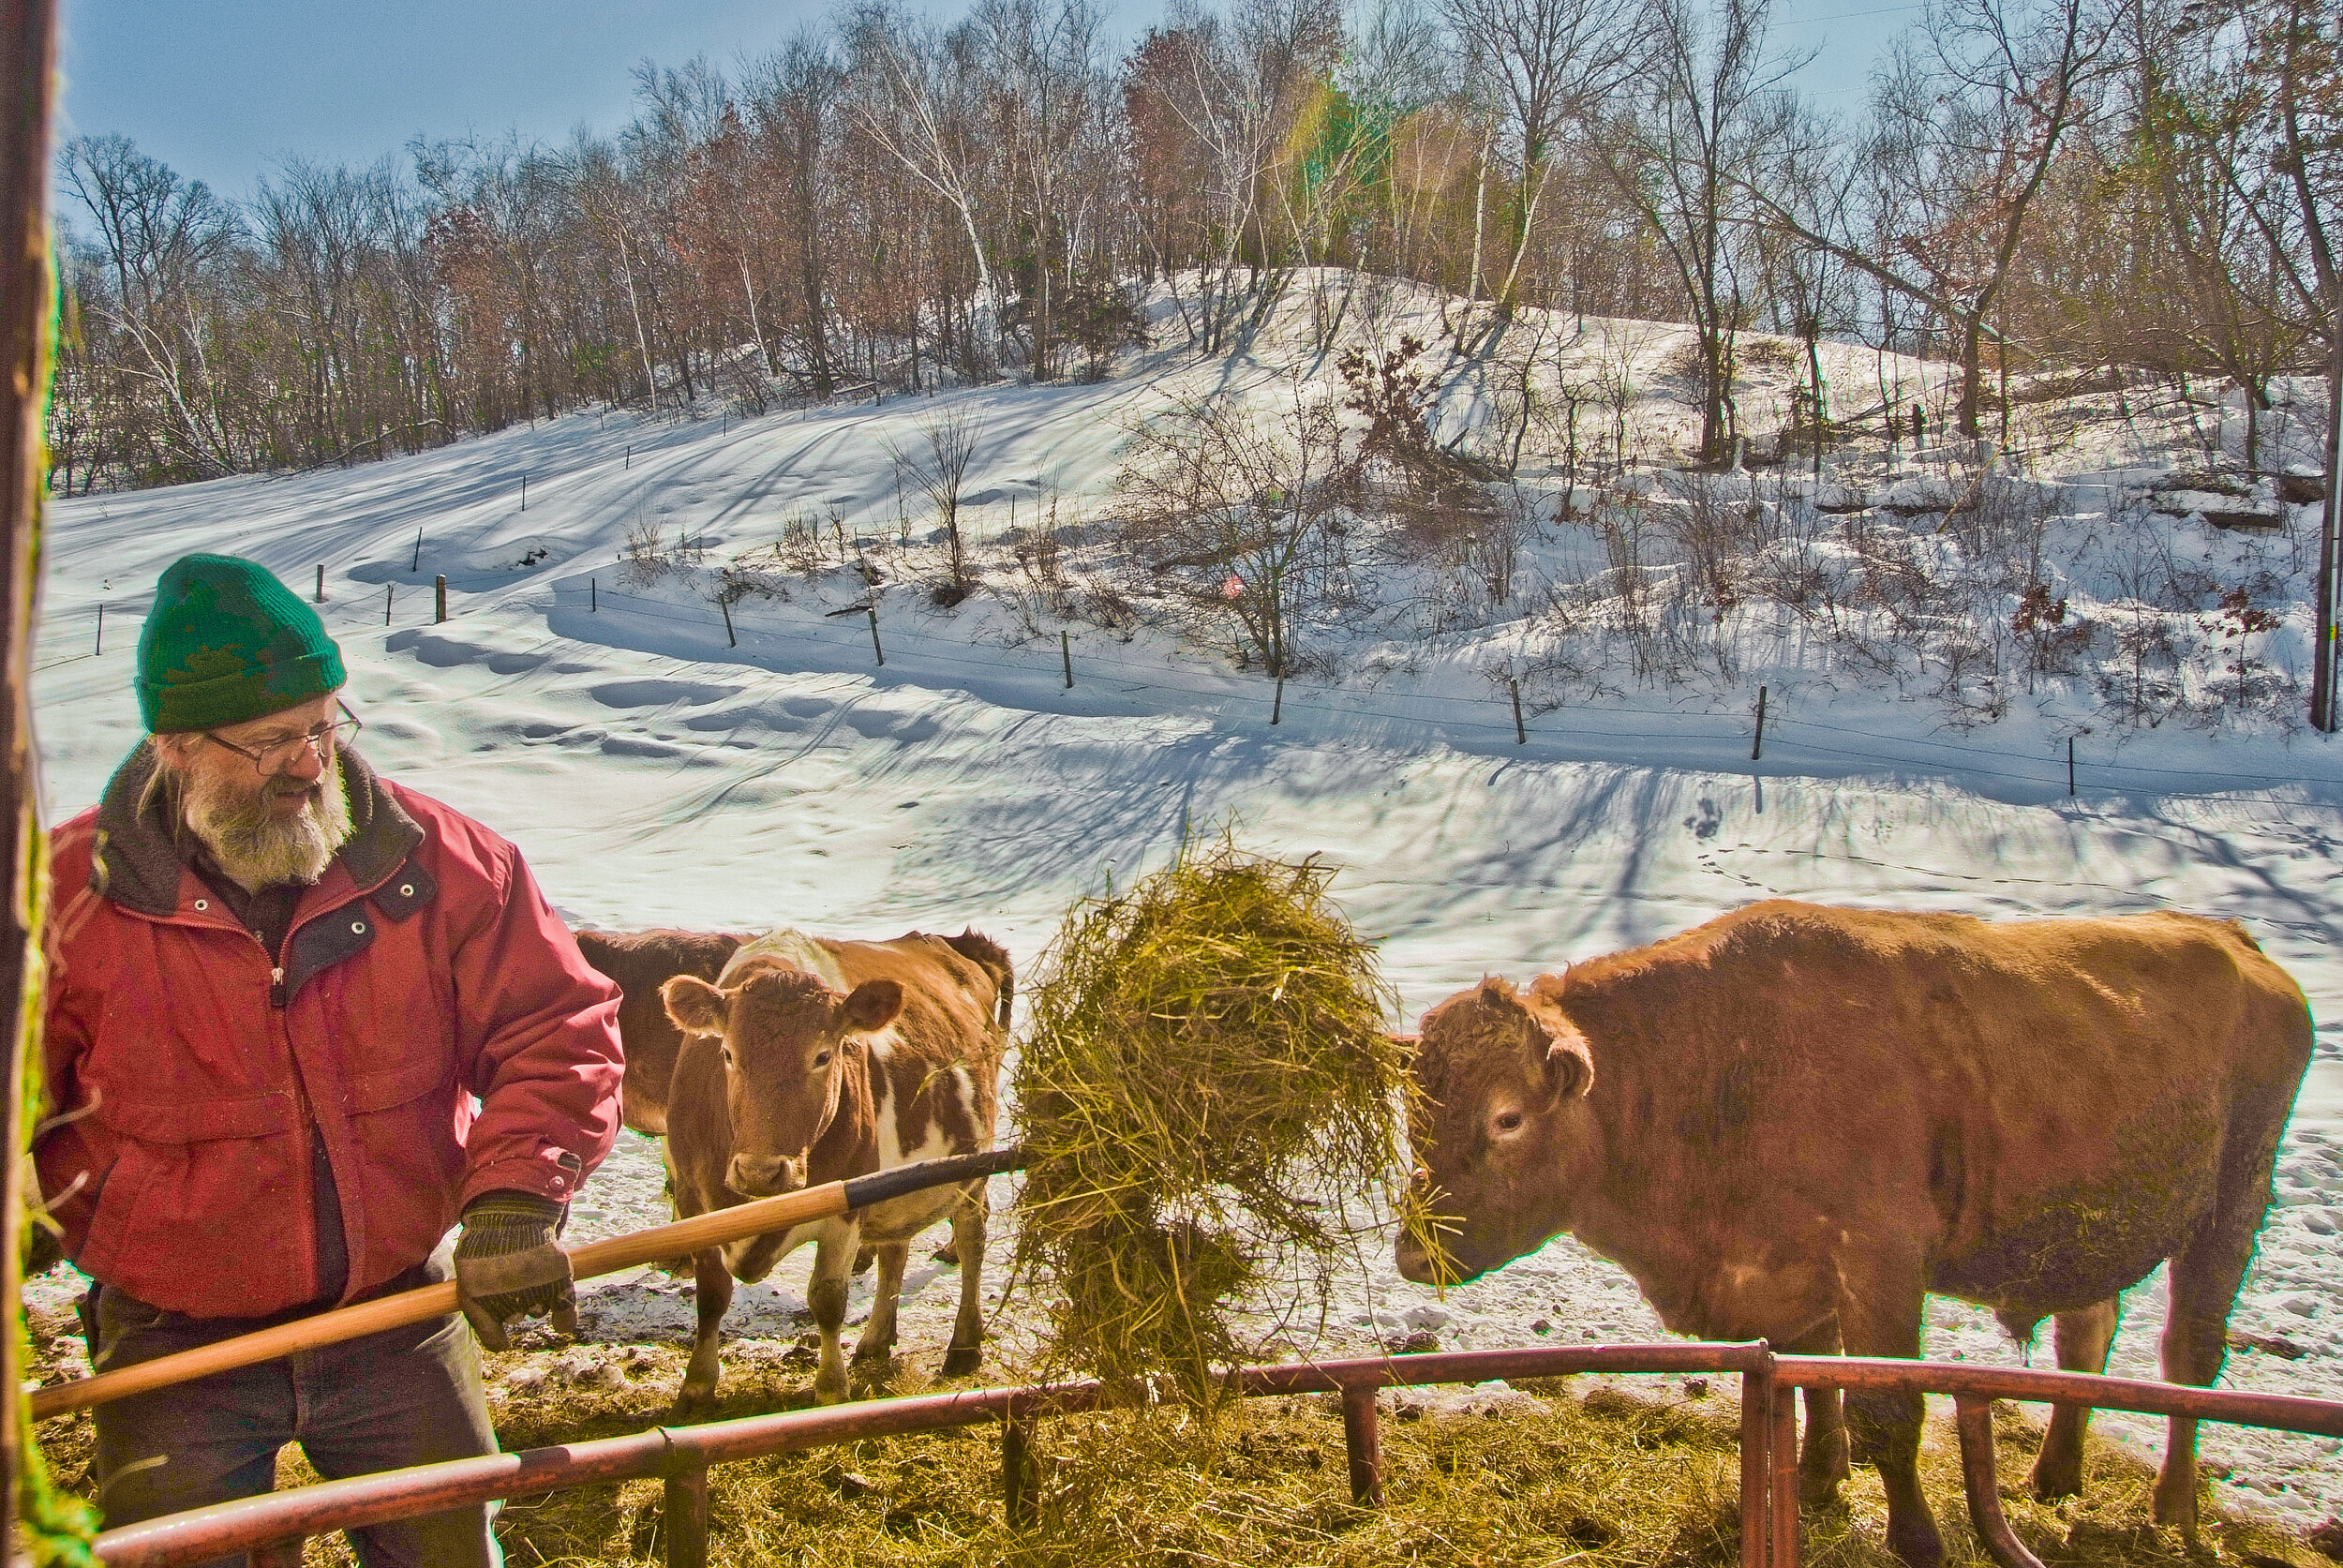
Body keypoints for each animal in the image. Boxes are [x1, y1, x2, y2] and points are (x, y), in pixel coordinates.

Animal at [661, 923, 1007, 1415]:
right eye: (726, 1053)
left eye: (824, 1056)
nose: (760, 1172)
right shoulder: (693, 1202)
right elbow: (711, 1295)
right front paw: (696, 1386)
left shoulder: (844, 1210)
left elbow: (826, 1298)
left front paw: (830, 1389)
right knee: (895, 1250)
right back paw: (876, 1339)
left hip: (969, 1172)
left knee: (972, 1240)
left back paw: (963, 1346)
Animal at [1396, 900, 2315, 1565]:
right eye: (1414, 1115)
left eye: (1507, 1117)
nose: (1414, 1251)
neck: (1720, 1065)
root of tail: (2234, 940)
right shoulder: (1790, 1272)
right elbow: (1813, 1378)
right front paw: (1812, 1482)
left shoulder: (1879, 1261)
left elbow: (1888, 1406)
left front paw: (1916, 1537)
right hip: (2088, 1231)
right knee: (2086, 1337)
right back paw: (2053, 1478)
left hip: (2231, 1206)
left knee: (2188, 1356)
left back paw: (2171, 1508)